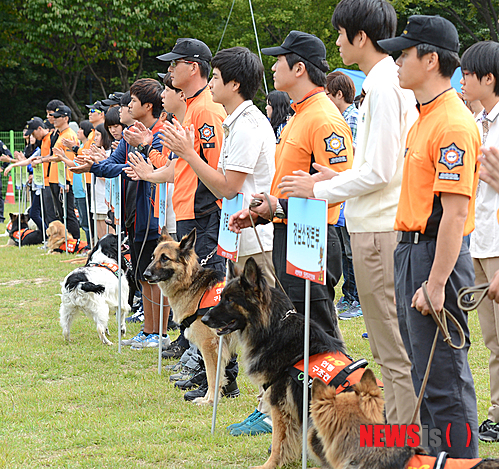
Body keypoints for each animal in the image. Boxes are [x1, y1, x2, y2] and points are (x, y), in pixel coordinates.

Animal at [144, 229, 239, 404]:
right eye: (153, 257)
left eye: (165, 258)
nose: (145, 274)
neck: (190, 283)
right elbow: (213, 375)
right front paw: (208, 397)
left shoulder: (209, 346)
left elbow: (212, 377)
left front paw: (209, 401)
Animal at [201, 258, 346, 466]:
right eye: (221, 297)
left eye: (230, 300)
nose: (204, 319)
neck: (274, 327)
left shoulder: (279, 402)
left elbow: (279, 440)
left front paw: (269, 465)